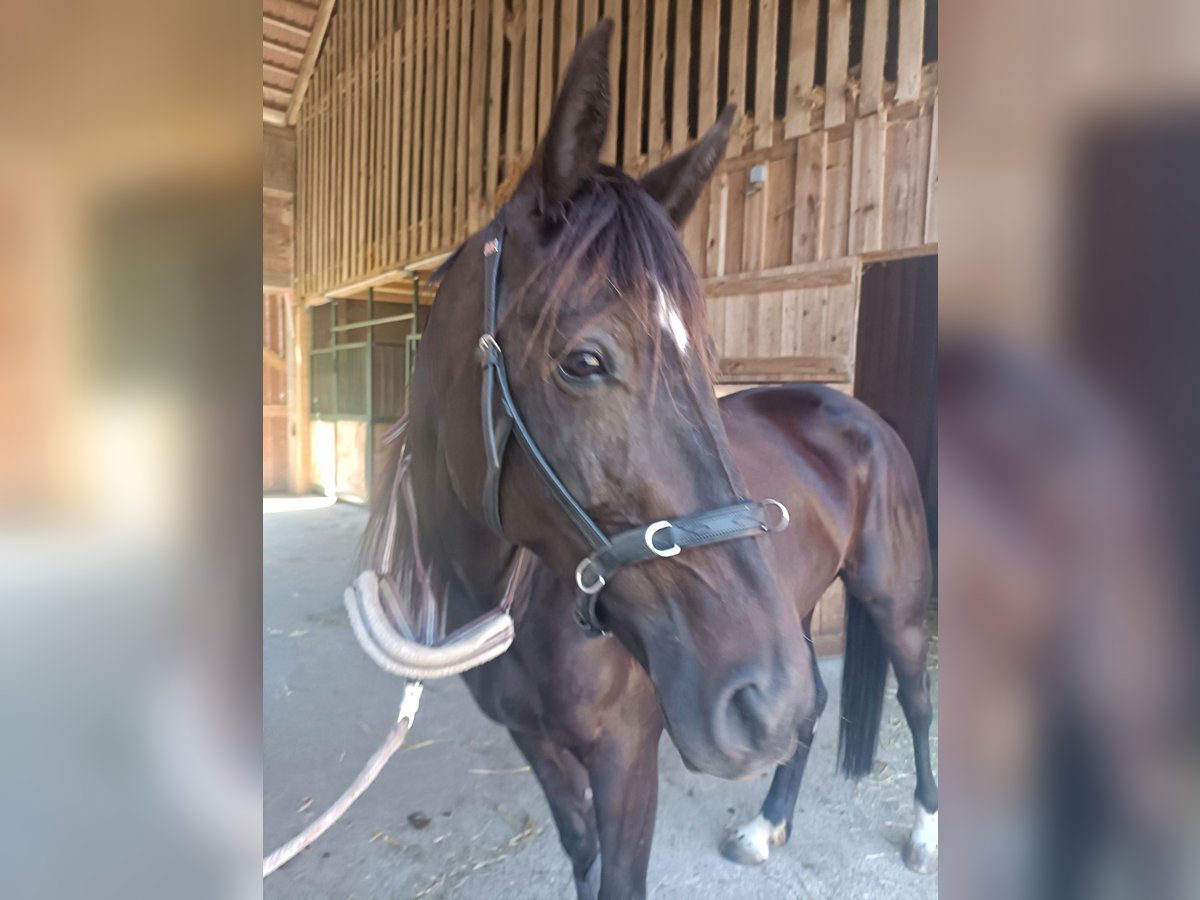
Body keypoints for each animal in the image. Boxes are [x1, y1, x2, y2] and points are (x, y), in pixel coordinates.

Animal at [363, 21, 937, 899]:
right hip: (795, 623)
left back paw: (925, 832)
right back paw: (767, 824)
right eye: (583, 361)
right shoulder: (543, 750)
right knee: (807, 715)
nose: (755, 699)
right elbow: (584, 858)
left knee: (916, 698)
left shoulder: (627, 756)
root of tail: (857, 412)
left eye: (707, 354)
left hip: (891, 602)